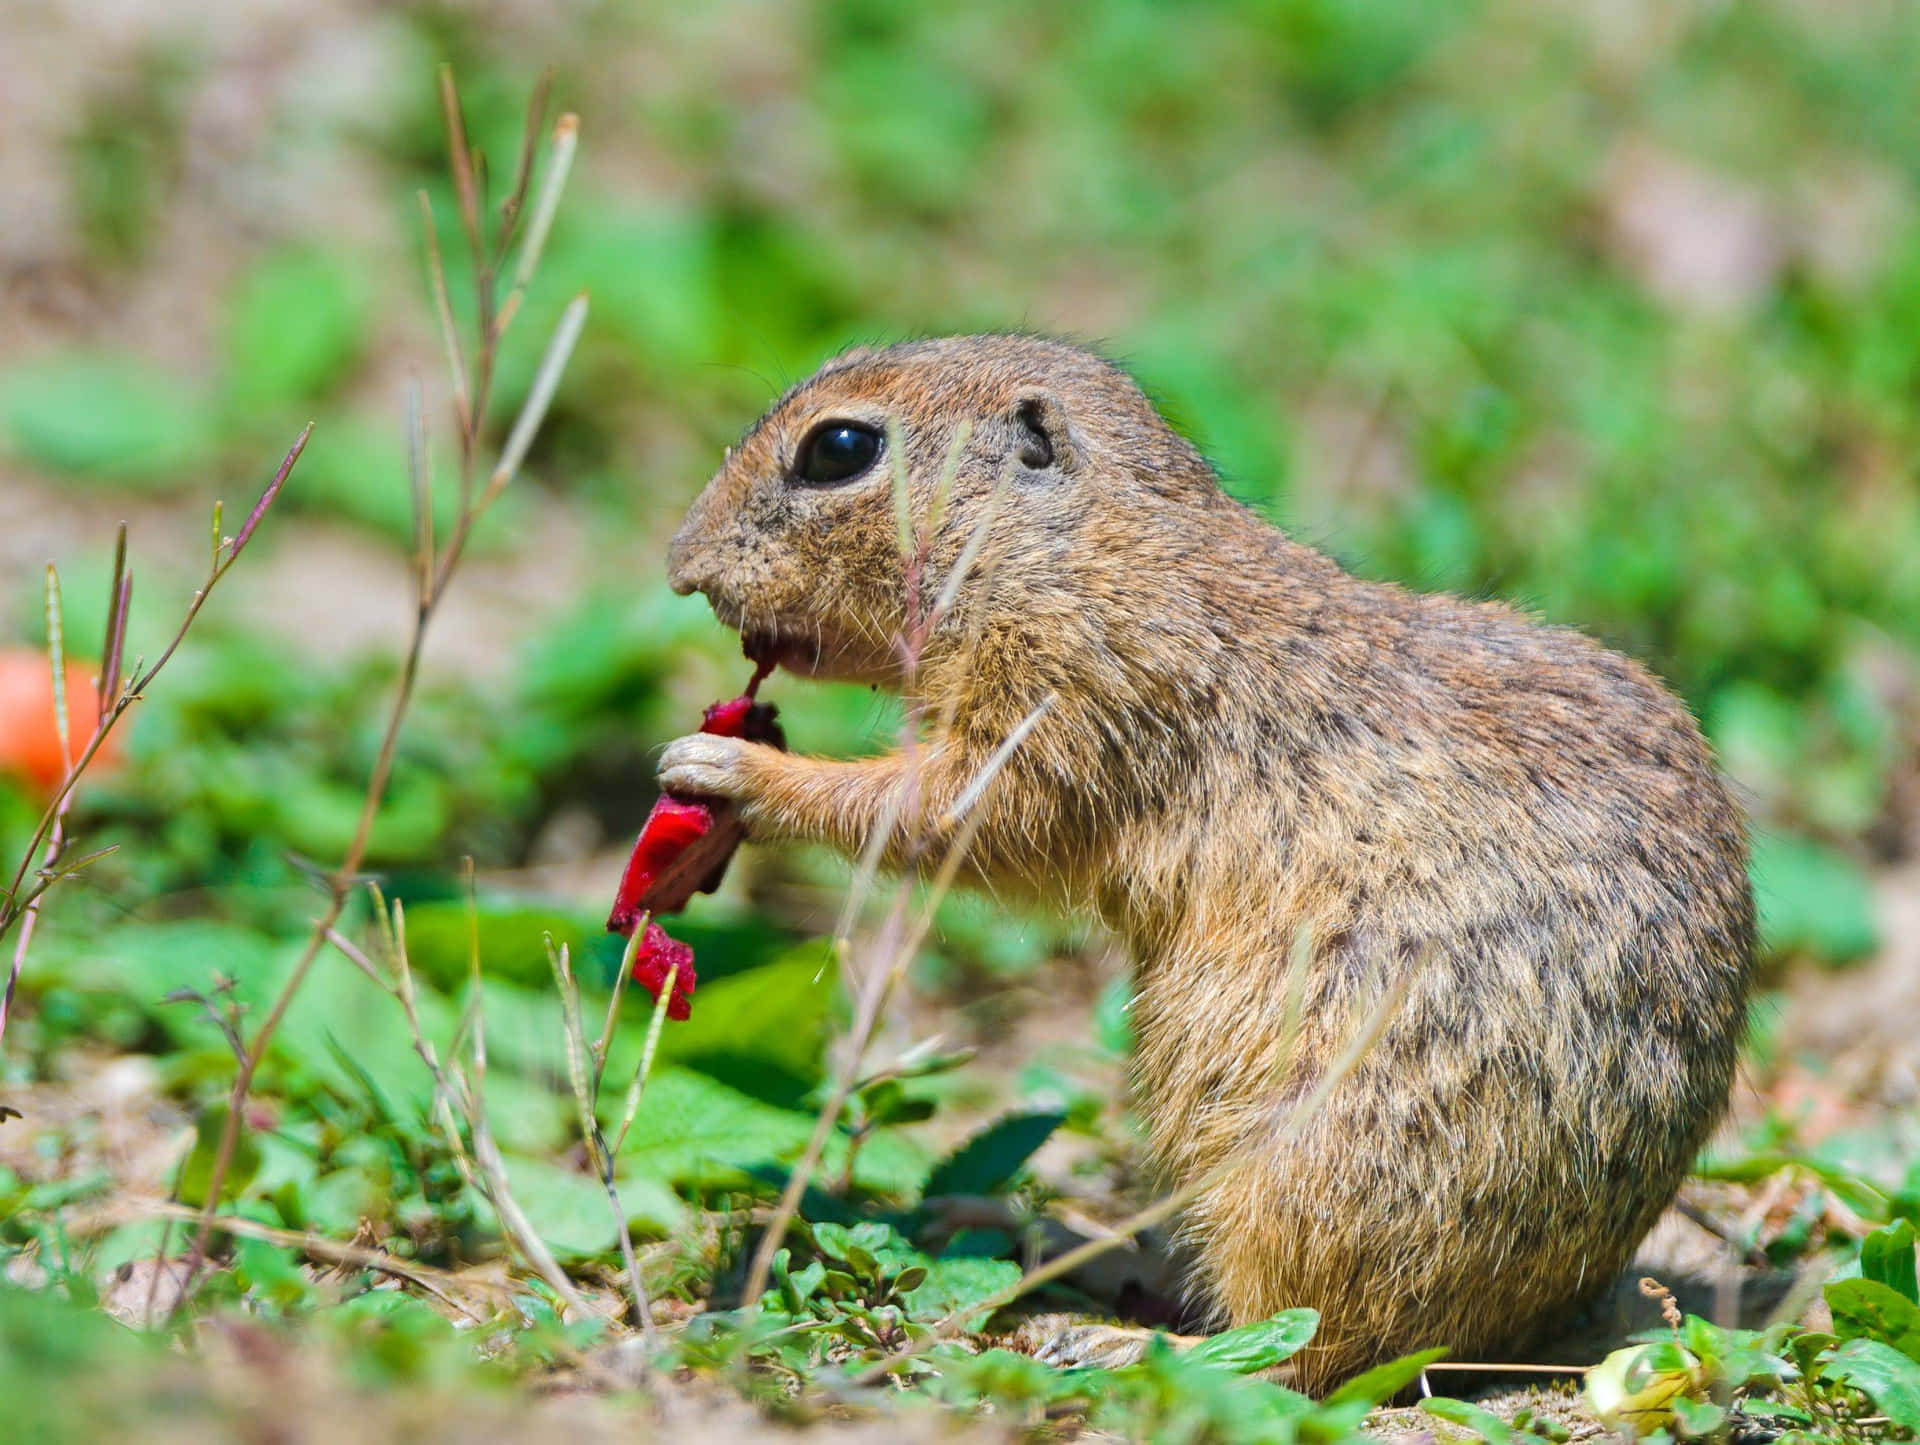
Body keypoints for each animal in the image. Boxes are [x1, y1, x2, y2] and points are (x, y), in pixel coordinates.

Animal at [656, 330, 1758, 1389]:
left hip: (1304, 1177)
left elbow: (941, 815)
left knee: (1310, 1349)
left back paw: (1110, 1338)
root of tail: (1544, 1318)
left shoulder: (1062, 708)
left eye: (838, 448)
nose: (679, 564)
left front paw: (727, 766)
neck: (1077, 545)